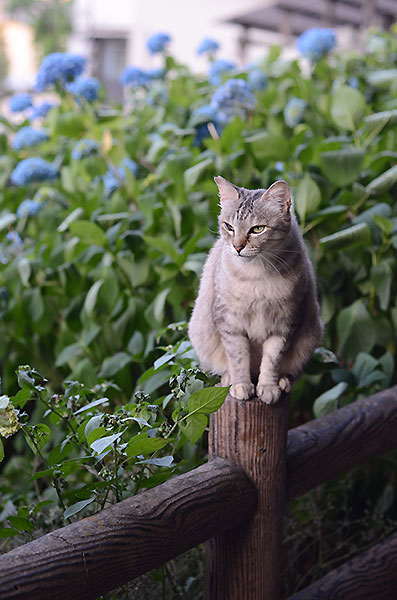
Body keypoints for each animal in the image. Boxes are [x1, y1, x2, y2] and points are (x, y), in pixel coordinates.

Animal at [188, 177, 322, 404]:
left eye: (257, 229)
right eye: (229, 227)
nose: (237, 247)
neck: (257, 276)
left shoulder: (284, 324)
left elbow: (272, 361)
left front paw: (268, 387)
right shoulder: (230, 324)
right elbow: (238, 358)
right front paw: (241, 386)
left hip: (309, 338)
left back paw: (283, 382)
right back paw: (228, 380)